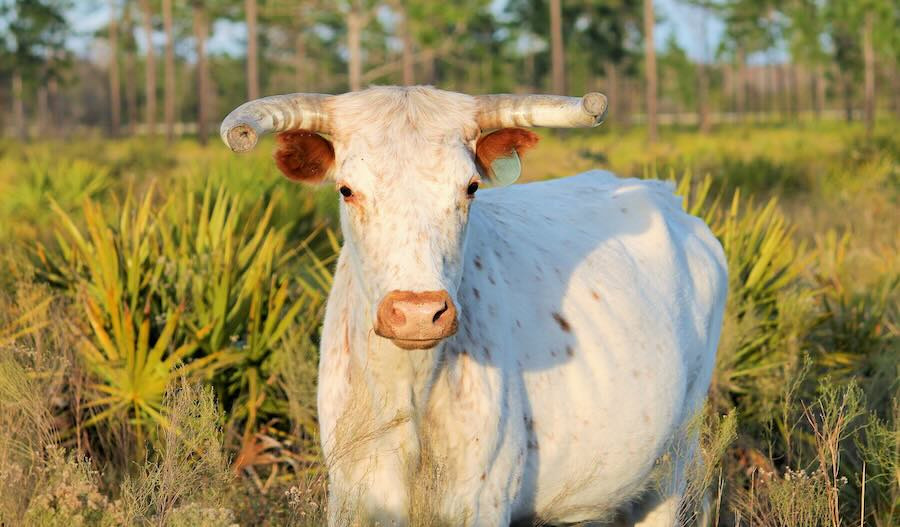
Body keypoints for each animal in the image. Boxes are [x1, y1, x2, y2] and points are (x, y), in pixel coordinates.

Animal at [221, 84, 728, 524]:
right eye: (347, 189)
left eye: (470, 187)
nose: (418, 313)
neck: (409, 394)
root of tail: (667, 197)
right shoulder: (350, 498)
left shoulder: (481, 503)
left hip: (674, 464)